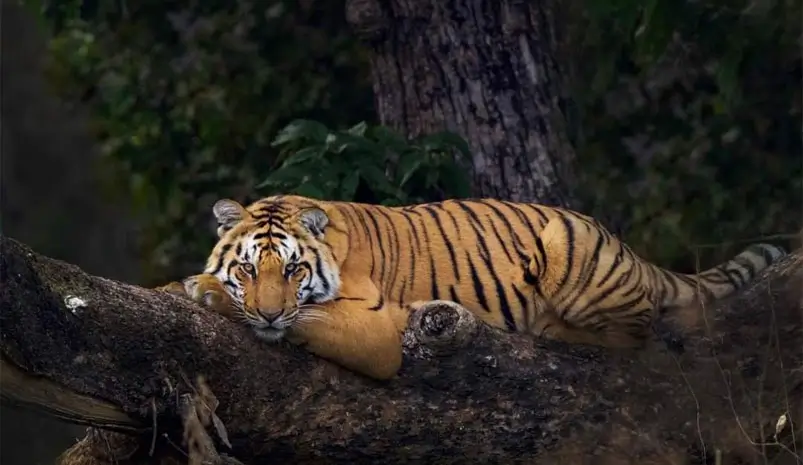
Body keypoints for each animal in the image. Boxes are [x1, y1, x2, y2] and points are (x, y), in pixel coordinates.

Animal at [156, 194, 786, 380]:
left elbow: (309, 319)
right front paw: (187, 286)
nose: (266, 314)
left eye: (292, 271)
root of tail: (628, 247)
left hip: (568, 245)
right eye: (248, 269)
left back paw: (554, 328)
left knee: (639, 334)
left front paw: (209, 294)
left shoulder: (376, 328)